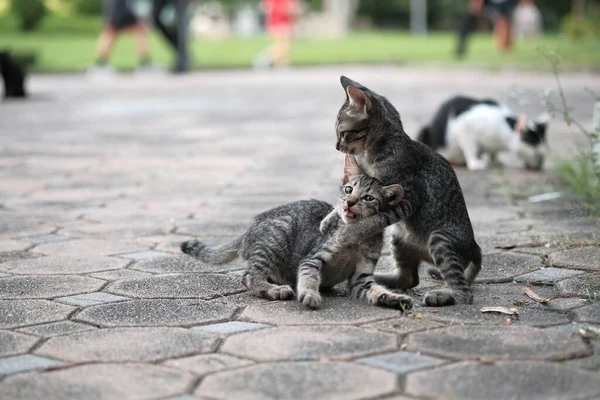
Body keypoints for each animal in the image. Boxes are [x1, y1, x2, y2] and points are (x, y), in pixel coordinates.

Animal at [180, 155, 412, 310]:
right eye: (348, 190)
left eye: (368, 198)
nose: (350, 202)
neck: (356, 238)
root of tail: (249, 230)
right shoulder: (312, 258)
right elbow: (308, 275)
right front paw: (309, 293)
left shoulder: (361, 279)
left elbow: (375, 289)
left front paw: (393, 298)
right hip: (278, 236)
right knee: (250, 276)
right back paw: (275, 289)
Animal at [328, 75, 482, 306]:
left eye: (343, 132)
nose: (337, 146)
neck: (371, 154)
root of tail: (474, 245)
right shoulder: (361, 181)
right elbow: (346, 200)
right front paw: (330, 219)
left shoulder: (406, 198)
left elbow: (376, 218)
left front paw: (351, 231)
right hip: (399, 238)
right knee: (409, 278)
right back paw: (379, 279)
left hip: (441, 239)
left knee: (465, 293)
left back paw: (442, 295)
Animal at [418, 95, 548, 170]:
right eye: (535, 150)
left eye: (543, 155)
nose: (540, 165)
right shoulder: (463, 127)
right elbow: (471, 149)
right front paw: (475, 163)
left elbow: (494, 153)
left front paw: (496, 161)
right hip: (425, 131)